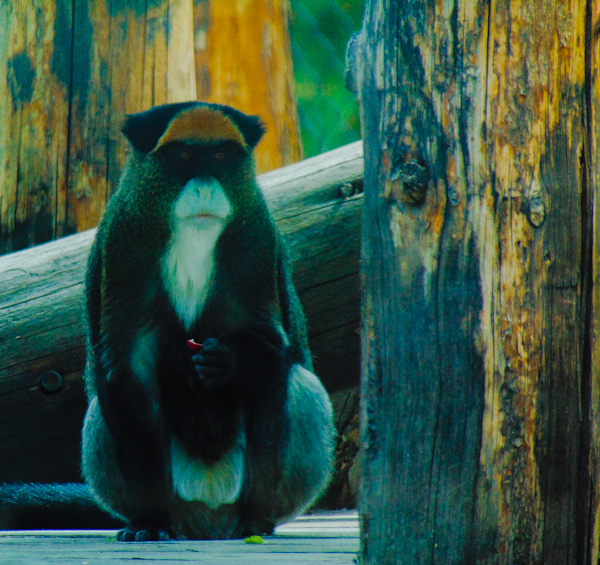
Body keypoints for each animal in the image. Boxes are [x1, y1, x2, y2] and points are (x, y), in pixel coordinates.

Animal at [80, 102, 336, 540]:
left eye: (219, 156)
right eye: (183, 155)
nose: (204, 187)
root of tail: (209, 514)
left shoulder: (254, 235)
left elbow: (269, 347)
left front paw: (225, 362)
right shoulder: (125, 240)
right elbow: (128, 366)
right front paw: (149, 521)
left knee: (295, 381)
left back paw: (254, 521)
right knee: (100, 407)